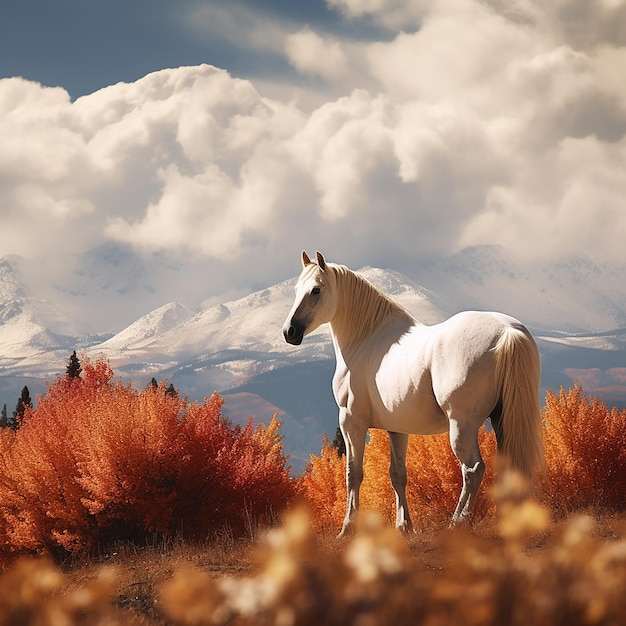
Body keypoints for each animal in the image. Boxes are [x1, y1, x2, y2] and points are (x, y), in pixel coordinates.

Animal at [282, 249, 540, 532]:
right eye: (297, 289)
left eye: (316, 290)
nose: (289, 332)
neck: (366, 339)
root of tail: (507, 331)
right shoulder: (397, 428)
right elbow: (398, 475)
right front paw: (404, 526)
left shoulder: (351, 421)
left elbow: (353, 473)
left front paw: (348, 527)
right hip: (501, 419)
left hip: (462, 425)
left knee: (472, 470)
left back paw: (457, 521)